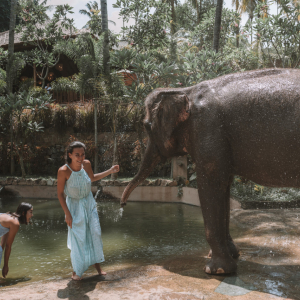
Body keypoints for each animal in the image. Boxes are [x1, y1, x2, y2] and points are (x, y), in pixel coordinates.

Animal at [120, 68, 300, 274]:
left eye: (146, 126)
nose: (122, 205)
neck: (185, 90)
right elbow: (224, 186)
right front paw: (232, 255)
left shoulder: (208, 129)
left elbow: (210, 185)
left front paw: (216, 270)